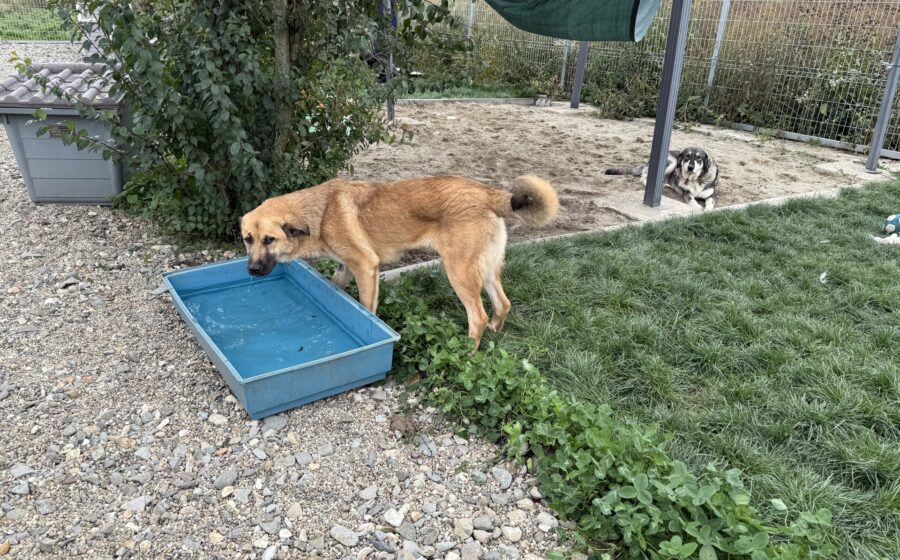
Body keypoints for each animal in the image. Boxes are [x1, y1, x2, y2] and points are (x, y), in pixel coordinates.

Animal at [240, 175, 559, 348]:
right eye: (247, 239)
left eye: (269, 240)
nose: (252, 270)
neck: (320, 214)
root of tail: (487, 193)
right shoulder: (346, 268)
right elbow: (338, 290)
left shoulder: (366, 267)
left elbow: (366, 309)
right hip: (487, 270)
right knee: (503, 304)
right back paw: (494, 333)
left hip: (458, 272)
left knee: (477, 316)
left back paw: (468, 352)